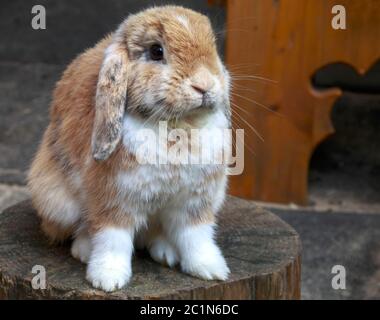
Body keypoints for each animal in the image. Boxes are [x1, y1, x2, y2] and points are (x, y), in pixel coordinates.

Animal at [27, 5, 232, 292]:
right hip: (58, 202)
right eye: (156, 51)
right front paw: (107, 279)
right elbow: (113, 239)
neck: (176, 125)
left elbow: (197, 237)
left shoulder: (196, 202)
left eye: (213, 46)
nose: (204, 85)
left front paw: (211, 270)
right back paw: (84, 250)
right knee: (80, 228)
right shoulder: (114, 198)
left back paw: (166, 252)